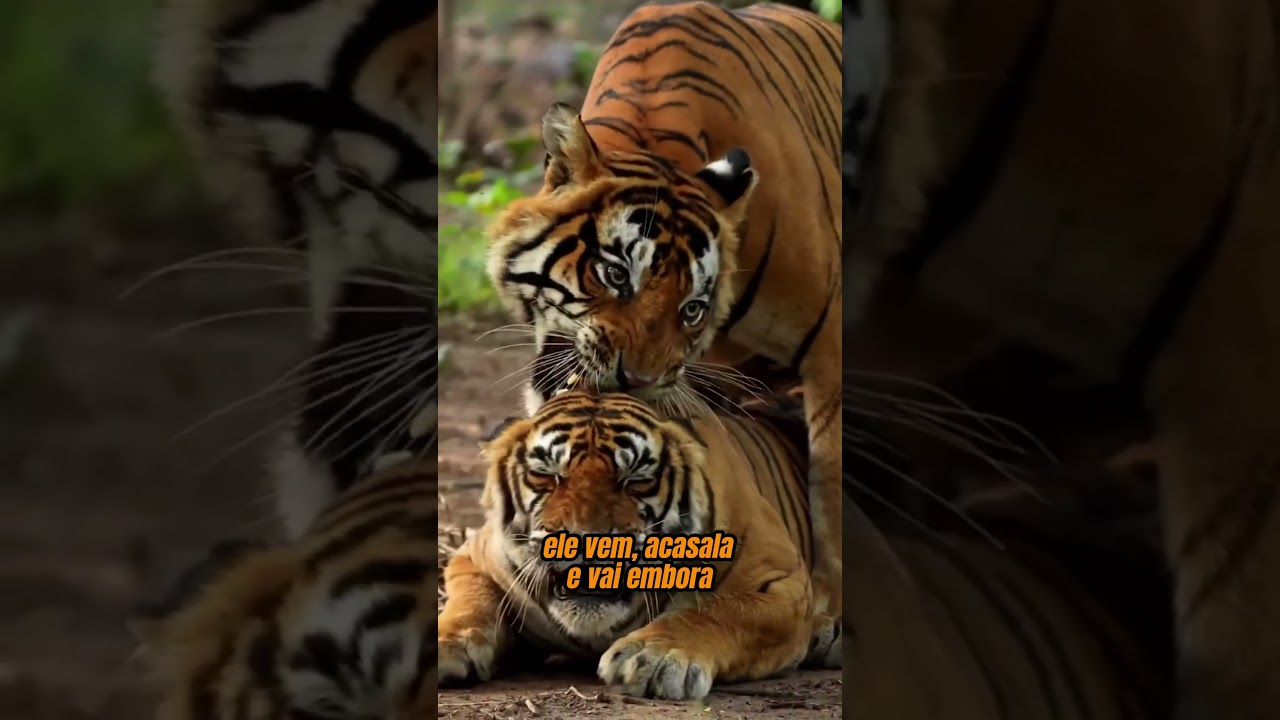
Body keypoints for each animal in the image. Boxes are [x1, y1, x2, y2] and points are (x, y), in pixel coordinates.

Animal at [438, 388, 1171, 714]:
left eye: (636, 479)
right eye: (547, 475)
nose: (584, 542)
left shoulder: (775, 581)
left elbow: (711, 613)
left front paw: (654, 657)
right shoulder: (476, 554)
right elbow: (466, 603)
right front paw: (445, 647)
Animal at [484, 0, 845, 646]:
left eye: (691, 308)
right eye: (615, 274)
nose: (639, 381)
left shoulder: (829, 339)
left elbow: (829, 483)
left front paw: (829, 613)